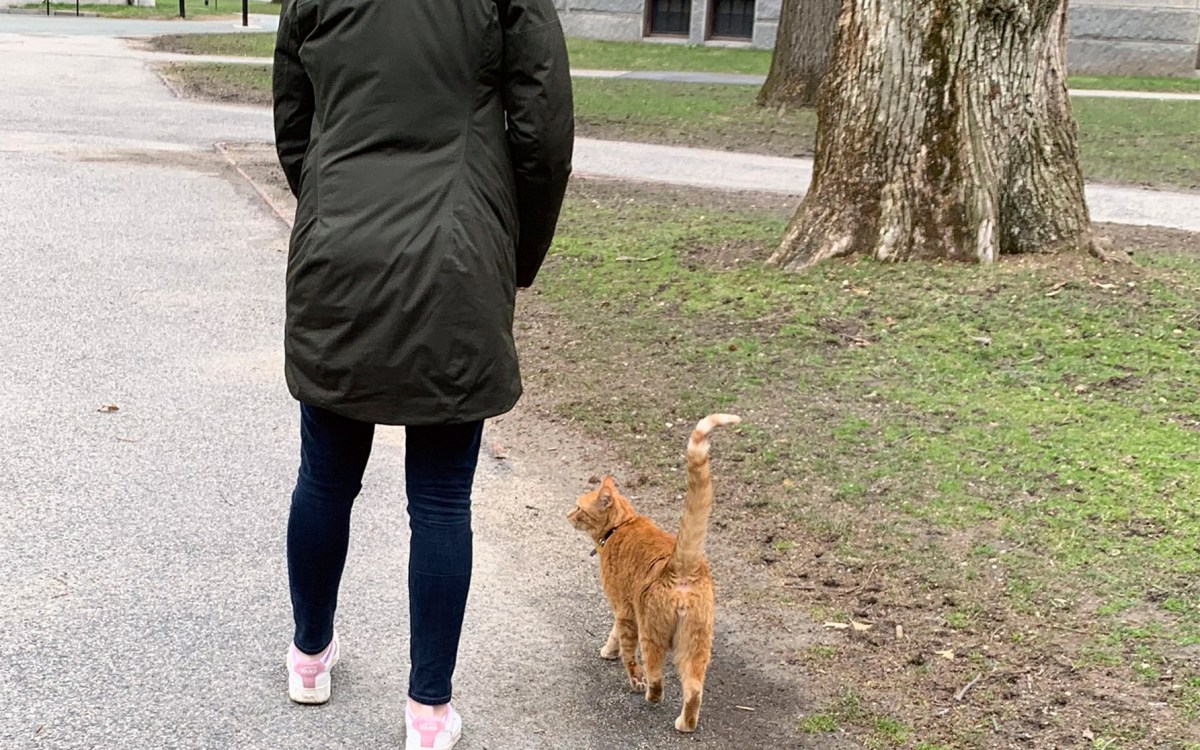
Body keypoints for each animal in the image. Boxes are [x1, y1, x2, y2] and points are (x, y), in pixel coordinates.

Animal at [564, 410, 734, 729]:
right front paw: (609, 650)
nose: (567, 515)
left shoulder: (624, 609)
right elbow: (615, 635)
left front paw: (626, 669)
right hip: (696, 642)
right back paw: (685, 724)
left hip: (651, 632)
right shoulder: (625, 609)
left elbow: (625, 647)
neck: (620, 526)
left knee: (656, 674)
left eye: (578, 508)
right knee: (694, 688)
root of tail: (680, 565)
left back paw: (651, 695)